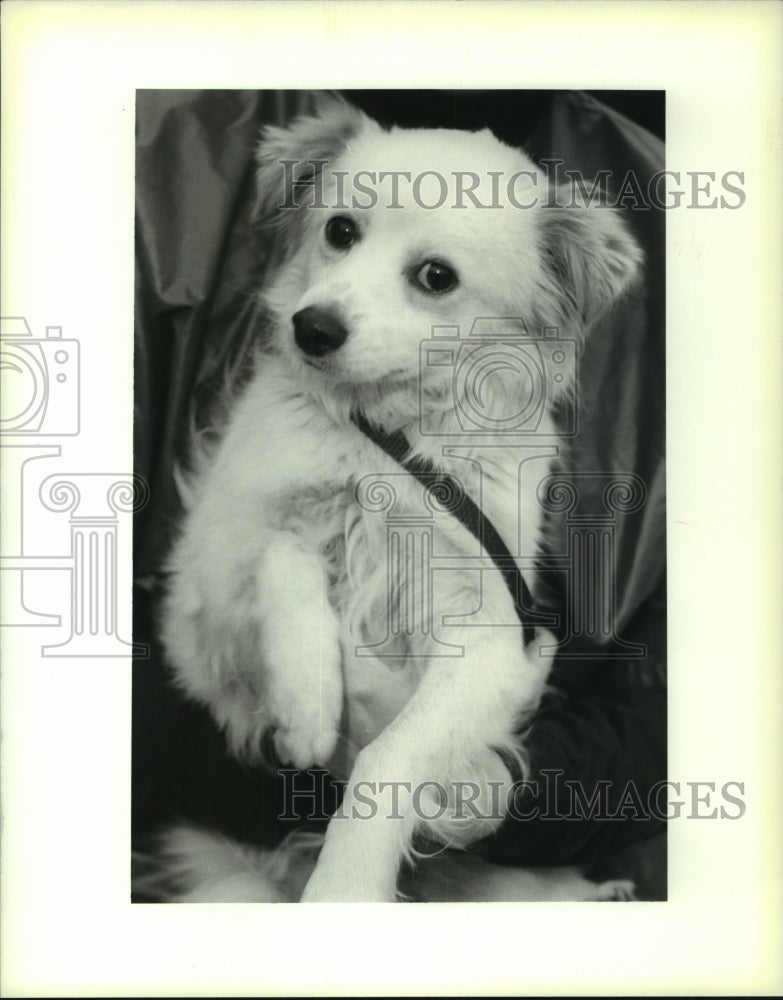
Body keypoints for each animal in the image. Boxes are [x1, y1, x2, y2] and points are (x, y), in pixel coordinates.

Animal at [161, 97, 644, 904]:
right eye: (339, 231)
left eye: (435, 276)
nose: (312, 327)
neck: (385, 436)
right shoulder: (205, 582)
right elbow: (285, 554)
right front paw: (307, 703)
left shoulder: (489, 639)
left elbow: (389, 757)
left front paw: (345, 885)